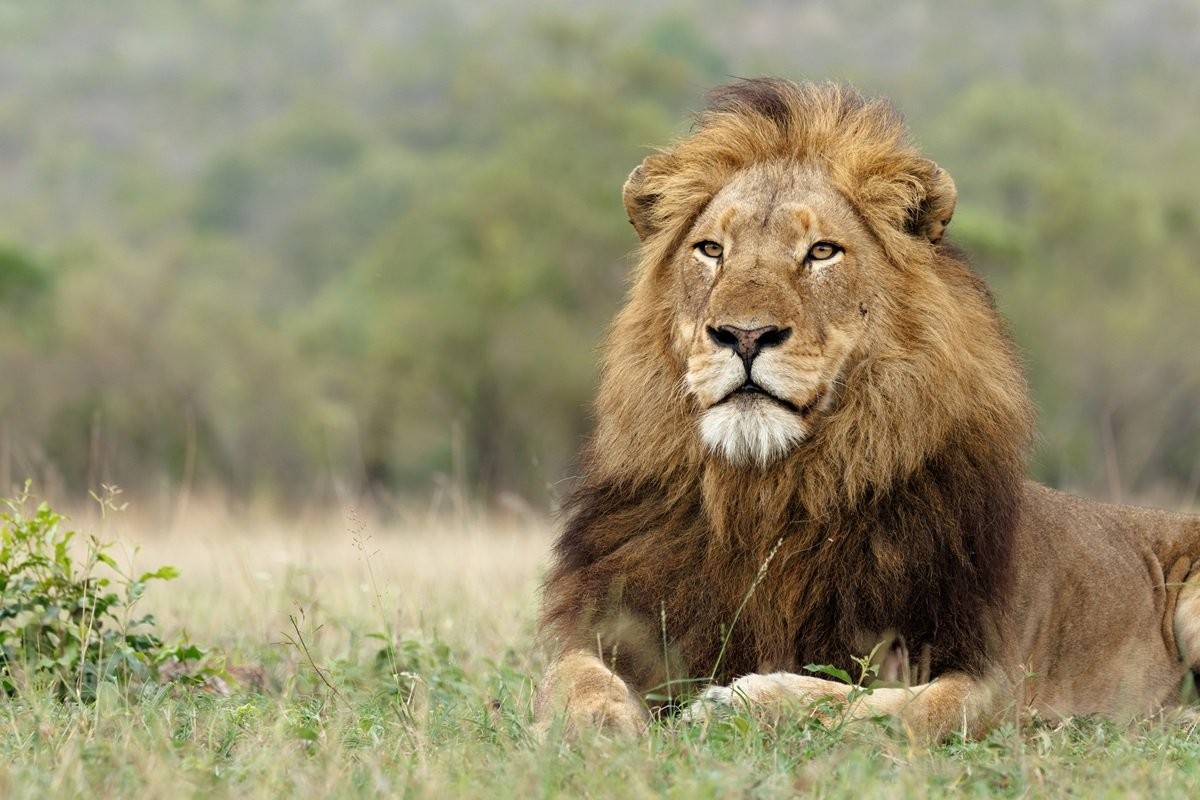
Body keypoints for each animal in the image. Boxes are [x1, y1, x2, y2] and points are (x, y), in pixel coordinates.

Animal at [533, 78, 1200, 740]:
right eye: (711, 249)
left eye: (823, 252)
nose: (744, 336)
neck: (768, 494)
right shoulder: (618, 625)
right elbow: (570, 677)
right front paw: (594, 729)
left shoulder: (992, 678)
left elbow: (886, 705)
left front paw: (741, 701)